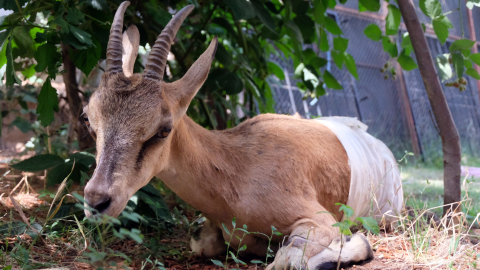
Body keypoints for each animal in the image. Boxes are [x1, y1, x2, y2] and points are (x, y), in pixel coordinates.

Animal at [84, 1, 404, 268]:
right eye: (88, 119)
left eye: (163, 129)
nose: (97, 202)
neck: (236, 172)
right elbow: (203, 244)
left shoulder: (318, 220)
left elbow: (289, 259)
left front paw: (356, 243)